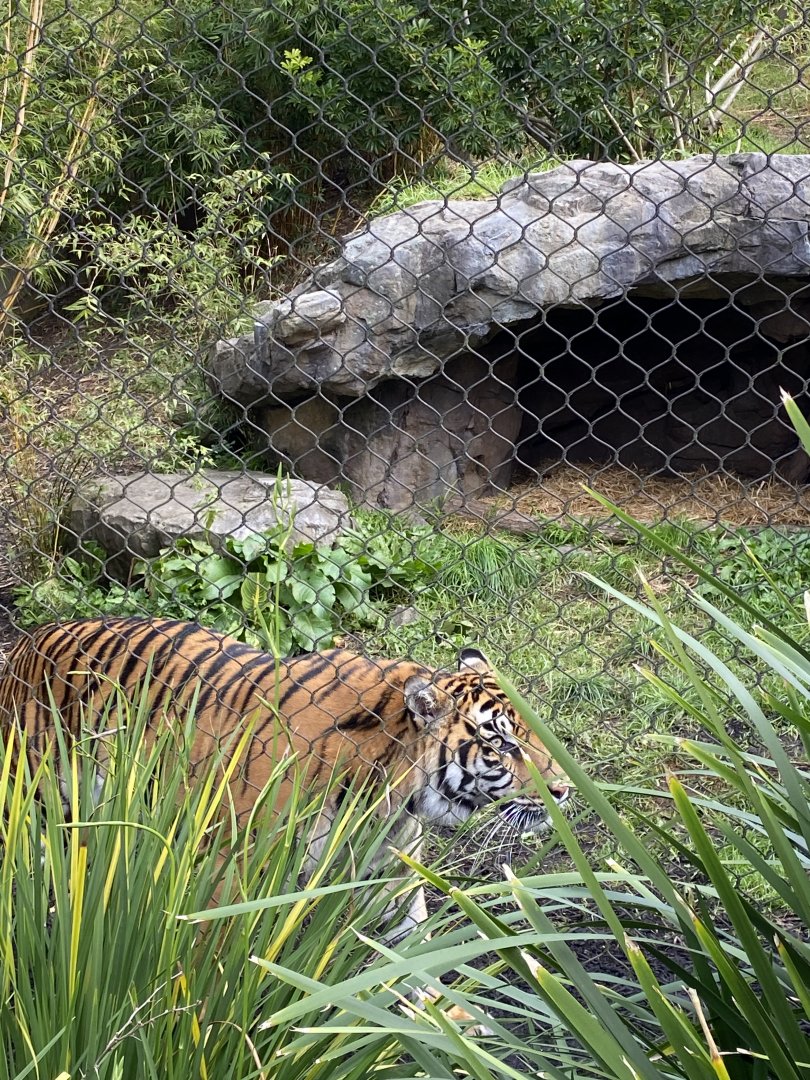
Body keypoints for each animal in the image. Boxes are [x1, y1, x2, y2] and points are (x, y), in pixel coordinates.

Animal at [0, 615, 569, 937]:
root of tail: (29, 640)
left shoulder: (392, 866)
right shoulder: (231, 867)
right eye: (503, 744)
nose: (564, 790)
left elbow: (412, 947)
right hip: (35, 799)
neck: (388, 793)